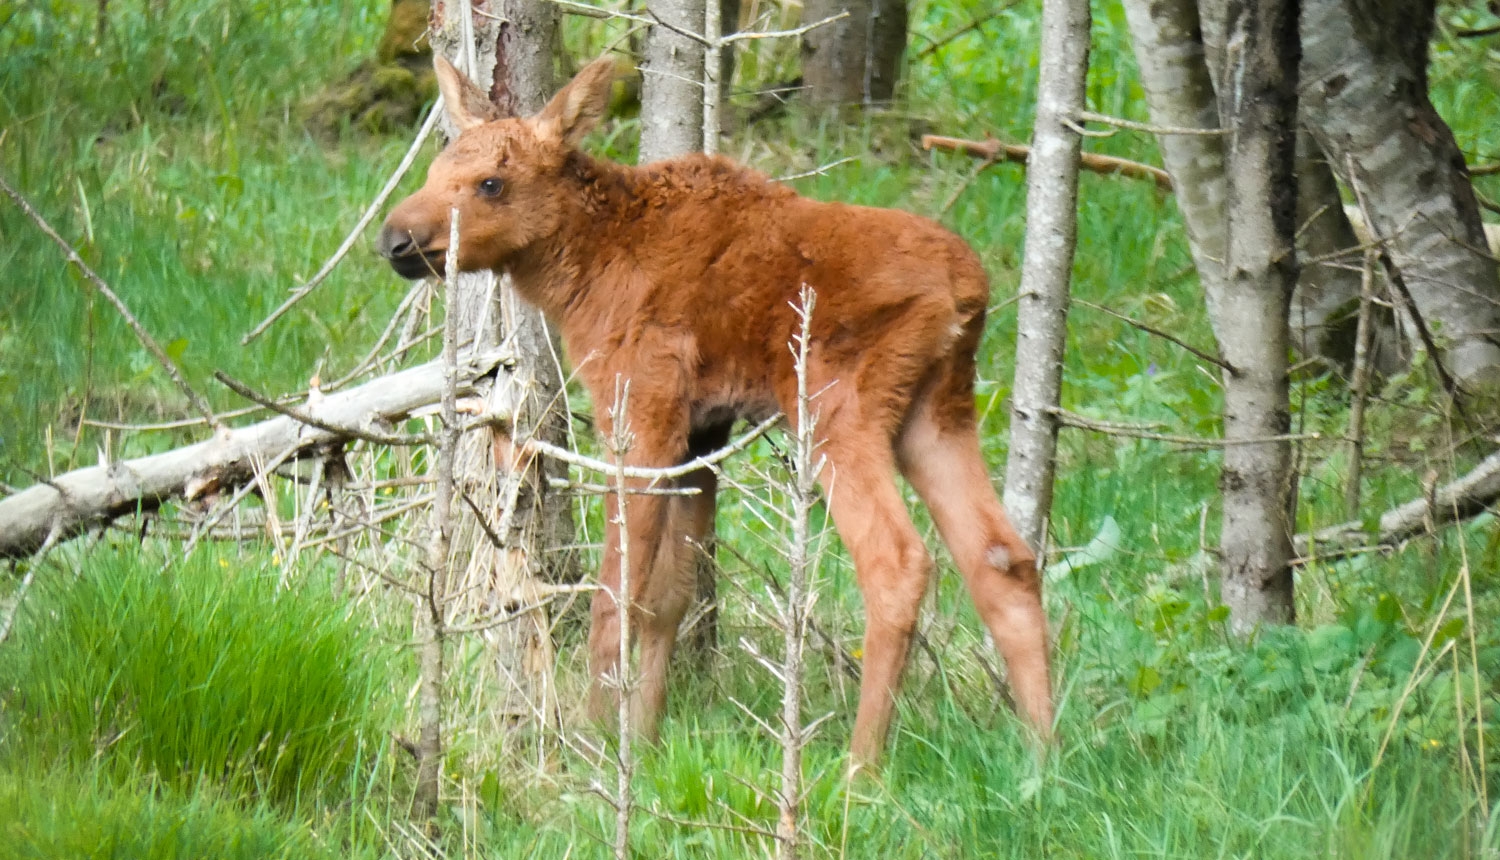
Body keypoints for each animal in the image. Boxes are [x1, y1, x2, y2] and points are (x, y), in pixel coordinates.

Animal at [378, 55, 1056, 765]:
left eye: (492, 183)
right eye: (434, 170)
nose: (394, 239)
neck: (583, 274)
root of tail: (968, 291)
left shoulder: (640, 407)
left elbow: (617, 592)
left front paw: (596, 745)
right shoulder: (704, 430)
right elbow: (671, 594)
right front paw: (646, 738)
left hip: (838, 405)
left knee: (898, 560)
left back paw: (861, 765)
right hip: (938, 411)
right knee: (1003, 558)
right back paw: (1043, 752)